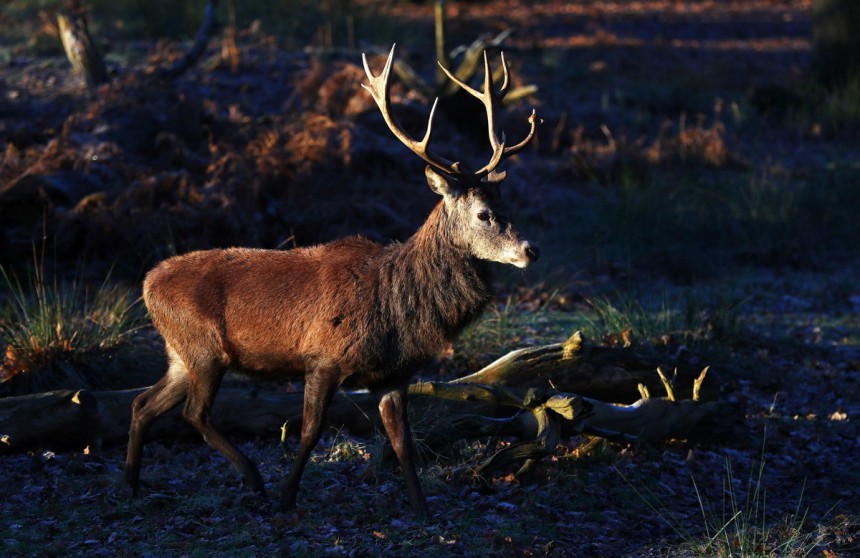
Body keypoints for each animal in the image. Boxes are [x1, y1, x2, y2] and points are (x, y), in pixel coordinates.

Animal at [124, 46, 540, 516]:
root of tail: (147, 283)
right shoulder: (324, 357)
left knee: (143, 403)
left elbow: (403, 442)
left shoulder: (394, 374)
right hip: (204, 347)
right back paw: (253, 479)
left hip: (179, 352)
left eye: (508, 205)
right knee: (195, 413)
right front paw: (287, 496)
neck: (395, 305)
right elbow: (310, 432)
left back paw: (131, 484)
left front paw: (421, 506)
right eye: (483, 214)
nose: (530, 250)